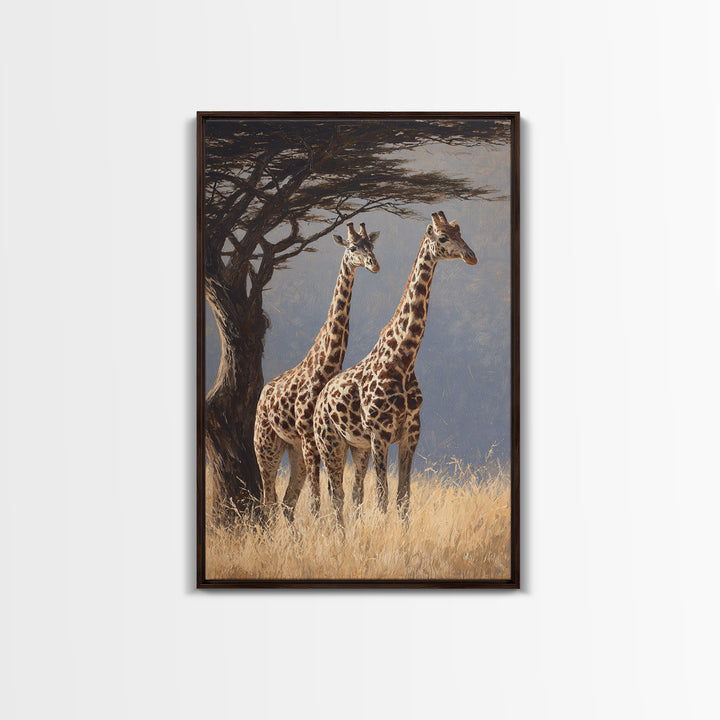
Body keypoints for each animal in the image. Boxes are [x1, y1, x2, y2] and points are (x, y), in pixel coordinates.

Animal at [253, 222, 381, 521]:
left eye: (371, 245)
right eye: (352, 247)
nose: (374, 264)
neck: (327, 363)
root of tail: (262, 397)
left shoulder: (319, 439)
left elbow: (333, 495)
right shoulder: (310, 435)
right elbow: (316, 501)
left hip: (293, 447)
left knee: (286, 502)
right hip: (266, 444)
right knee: (269, 501)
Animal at [313, 211, 477, 525]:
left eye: (460, 233)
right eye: (443, 237)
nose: (471, 256)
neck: (403, 359)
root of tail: (321, 399)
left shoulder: (410, 433)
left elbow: (403, 497)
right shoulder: (380, 434)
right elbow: (383, 496)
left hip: (357, 447)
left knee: (353, 492)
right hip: (329, 443)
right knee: (335, 493)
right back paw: (340, 534)